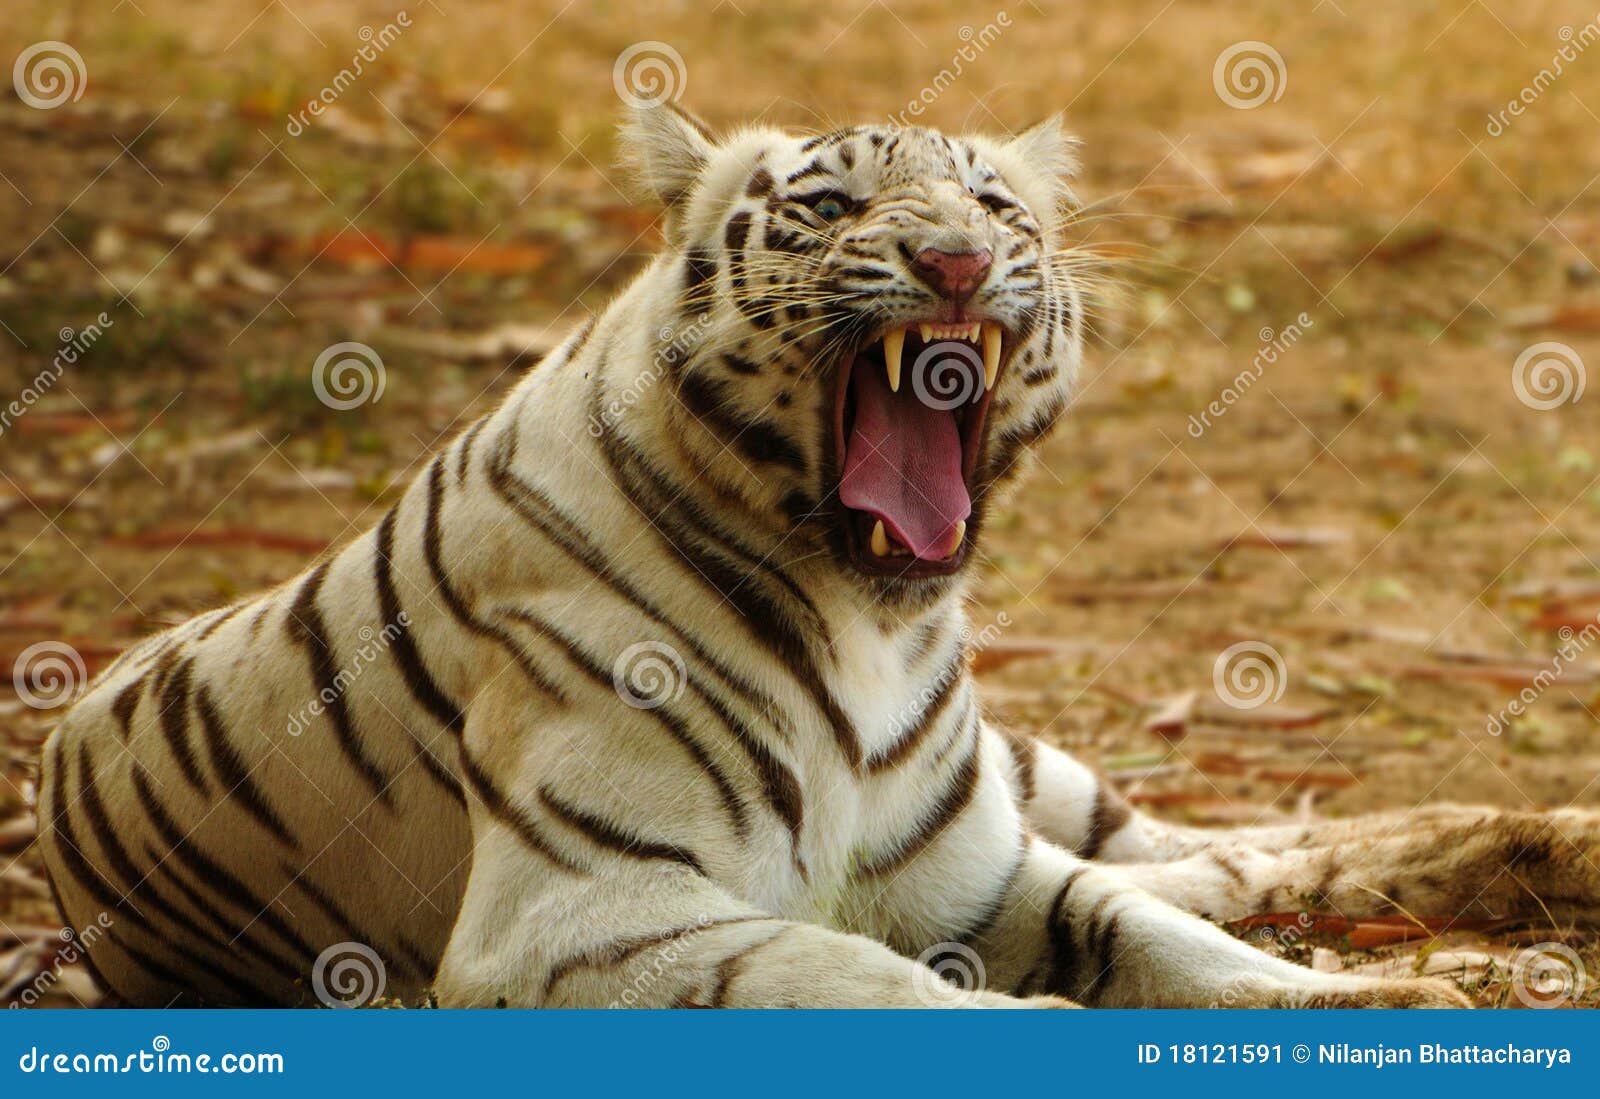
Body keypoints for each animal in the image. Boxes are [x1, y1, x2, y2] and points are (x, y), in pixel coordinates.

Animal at [37, 107, 1600, 1011]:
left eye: (998, 210)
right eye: (836, 209)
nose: (958, 263)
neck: (872, 617)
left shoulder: (972, 872)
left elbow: (1163, 933)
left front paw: (1382, 1007)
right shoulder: (581, 914)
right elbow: (893, 986)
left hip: (1023, 778)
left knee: (1202, 853)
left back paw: (1539, 850)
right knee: (1200, 862)